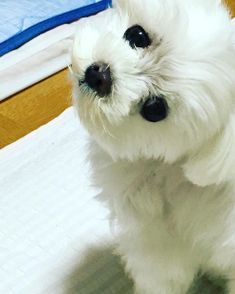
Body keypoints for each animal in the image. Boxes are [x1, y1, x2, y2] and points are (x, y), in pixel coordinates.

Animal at [70, 0, 235, 292]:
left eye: (155, 109)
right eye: (137, 35)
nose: (100, 76)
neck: (168, 167)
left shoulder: (157, 240)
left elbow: (159, 275)